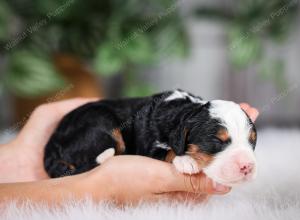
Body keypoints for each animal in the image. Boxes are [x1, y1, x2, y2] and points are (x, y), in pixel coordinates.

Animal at [44, 89, 258, 186]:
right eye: (217, 141)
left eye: (252, 141)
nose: (247, 166)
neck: (180, 109)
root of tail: (52, 140)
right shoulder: (147, 146)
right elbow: (168, 151)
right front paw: (186, 160)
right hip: (101, 123)